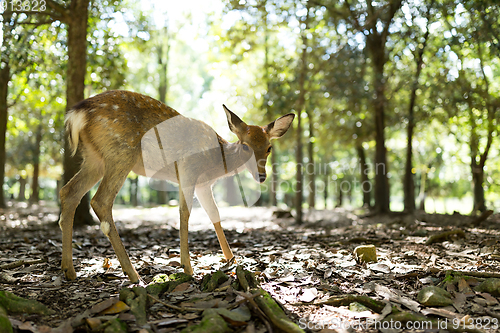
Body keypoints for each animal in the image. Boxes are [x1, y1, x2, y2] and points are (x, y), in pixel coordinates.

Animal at [59, 89, 294, 282]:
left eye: (269, 147)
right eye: (245, 146)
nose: (261, 176)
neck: (216, 162)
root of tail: (77, 114)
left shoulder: (203, 185)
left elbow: (214, 214)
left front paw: (231, 260)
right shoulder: (188, 169)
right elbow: (185, 213)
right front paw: (187, 267)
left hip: (95, 158)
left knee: (68, 192)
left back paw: (69, 270)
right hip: (121, 152)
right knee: (100, 200)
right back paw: (133, 274)